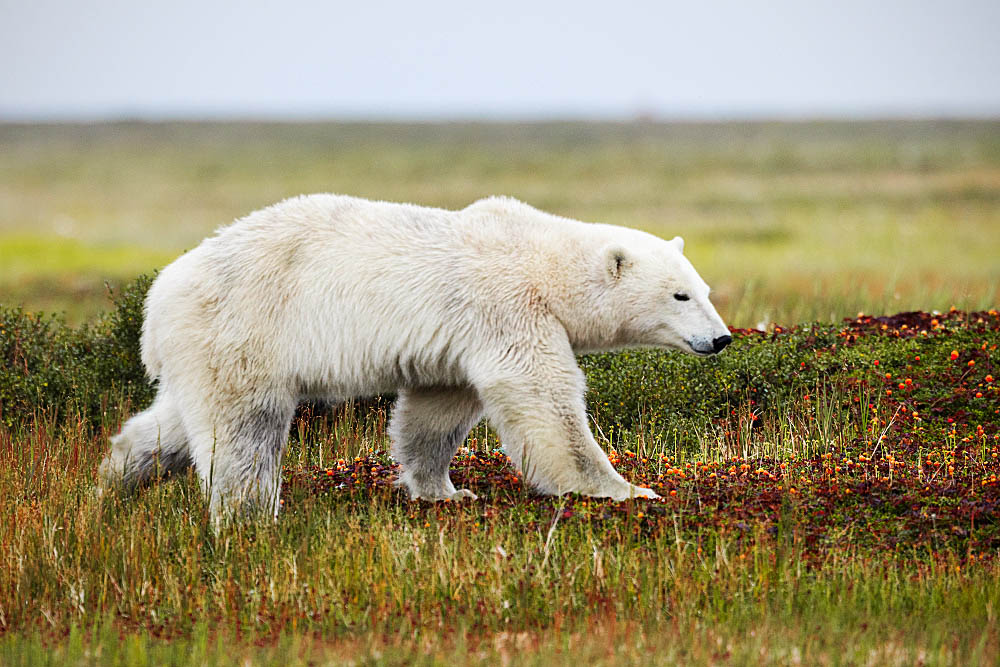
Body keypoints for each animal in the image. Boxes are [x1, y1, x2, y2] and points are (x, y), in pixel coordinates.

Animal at [97, 196, 732, 520]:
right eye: (680, 295)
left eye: (705, 289)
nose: (722, 339)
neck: (541, 260)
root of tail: (159, 298)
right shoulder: (505, 307)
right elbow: (542, 397)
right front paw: (625, 490)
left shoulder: (461, 338)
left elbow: (437, 409)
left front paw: (445, 491)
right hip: (247, 327)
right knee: (244, 432)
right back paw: (249, 515)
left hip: (203, 347)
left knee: (172, 426)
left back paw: (111, 484)